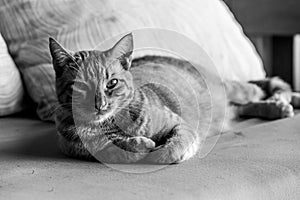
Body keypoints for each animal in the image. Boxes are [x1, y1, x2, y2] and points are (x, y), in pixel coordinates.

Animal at [48, 33, 296, 164]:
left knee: (263, 88)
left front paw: (157, 152)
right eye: (80, 86)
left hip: (236, 90)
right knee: (243, 107)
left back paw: (282, 103)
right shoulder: (72, 146)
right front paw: (139, 145)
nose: (99, 105)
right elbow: (110, 149)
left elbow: (172, 147)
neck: (109, 125)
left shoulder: (180, 124)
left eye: (112, 83)